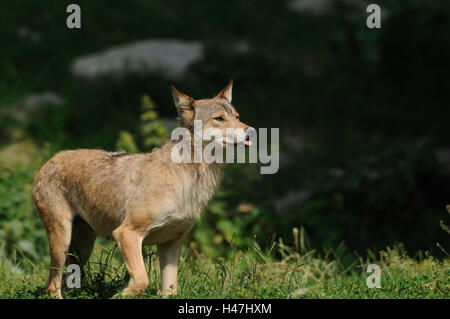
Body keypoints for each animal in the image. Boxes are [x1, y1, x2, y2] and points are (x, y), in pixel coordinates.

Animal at [32, 81, 253, 298]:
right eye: (219, 118)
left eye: (237, 117)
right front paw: (122, 294)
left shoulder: (171, 243)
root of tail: (47, 162)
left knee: (61, 282)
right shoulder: (126, 234)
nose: (251, 131)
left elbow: (170, 290)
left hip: (82, 251)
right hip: (63, 242)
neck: (187, 176)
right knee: (51, 286)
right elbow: (141, 280)